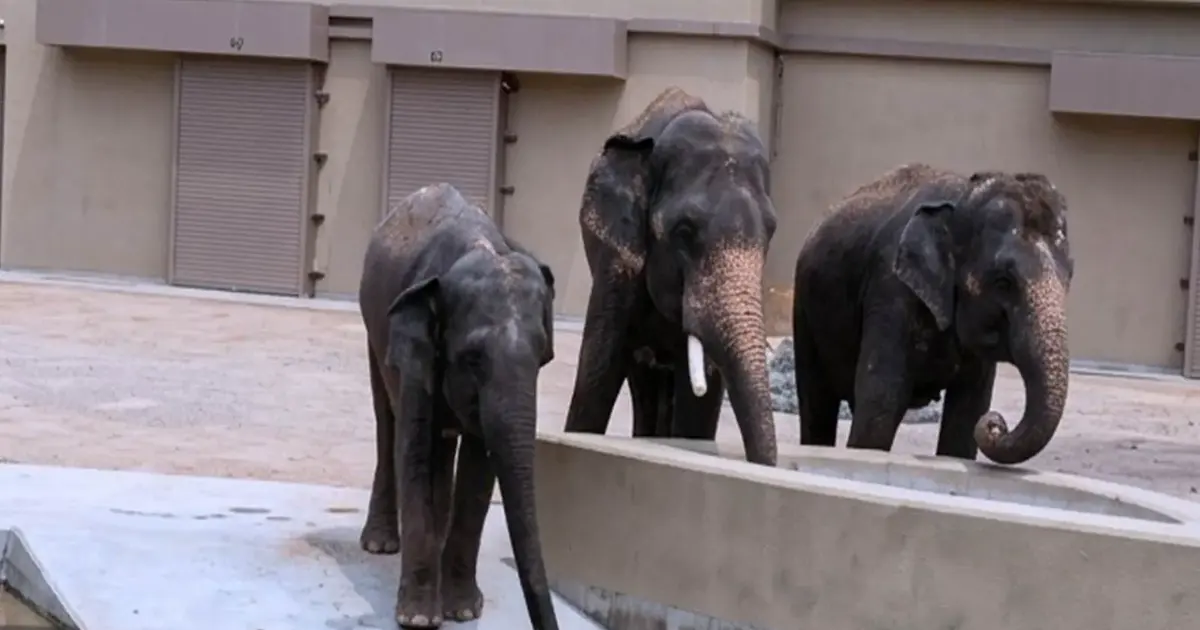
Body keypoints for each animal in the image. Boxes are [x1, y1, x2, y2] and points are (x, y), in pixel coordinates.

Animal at [357, 183, 559, 629]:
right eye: (473, 358)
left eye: (543, 357)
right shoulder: (413, 347)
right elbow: (414, 446)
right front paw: (418, 619)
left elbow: (479, 467)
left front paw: (463, 612)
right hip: (373, 332)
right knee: (387, 421)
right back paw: (379, 545)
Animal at [791, 163, 1074, 465]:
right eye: (1003, 282)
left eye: (1069, 277)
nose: (996, 424)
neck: (964, 195)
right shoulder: (891, 289)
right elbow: (882, 398)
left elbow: (968, 412)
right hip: (804, 309)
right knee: (817, 401)